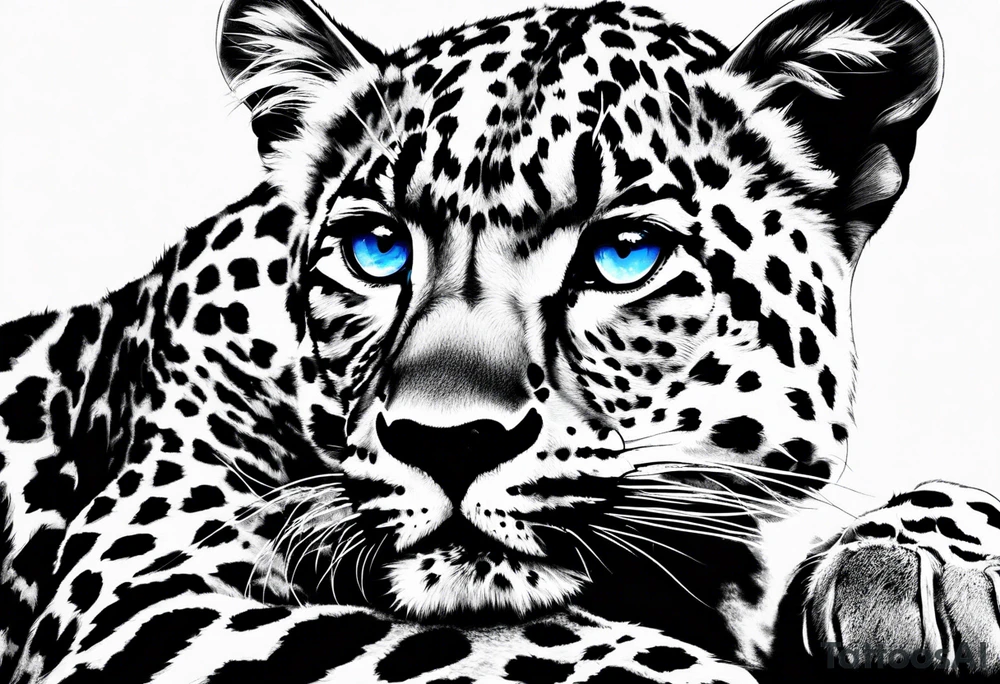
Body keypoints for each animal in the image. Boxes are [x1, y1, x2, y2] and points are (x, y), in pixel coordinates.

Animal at [1, 0, 998, 682]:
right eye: (377, 248)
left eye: (622, 253)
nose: (445, 443)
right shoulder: (151, 583)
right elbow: (523, 644)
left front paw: (914, 567)